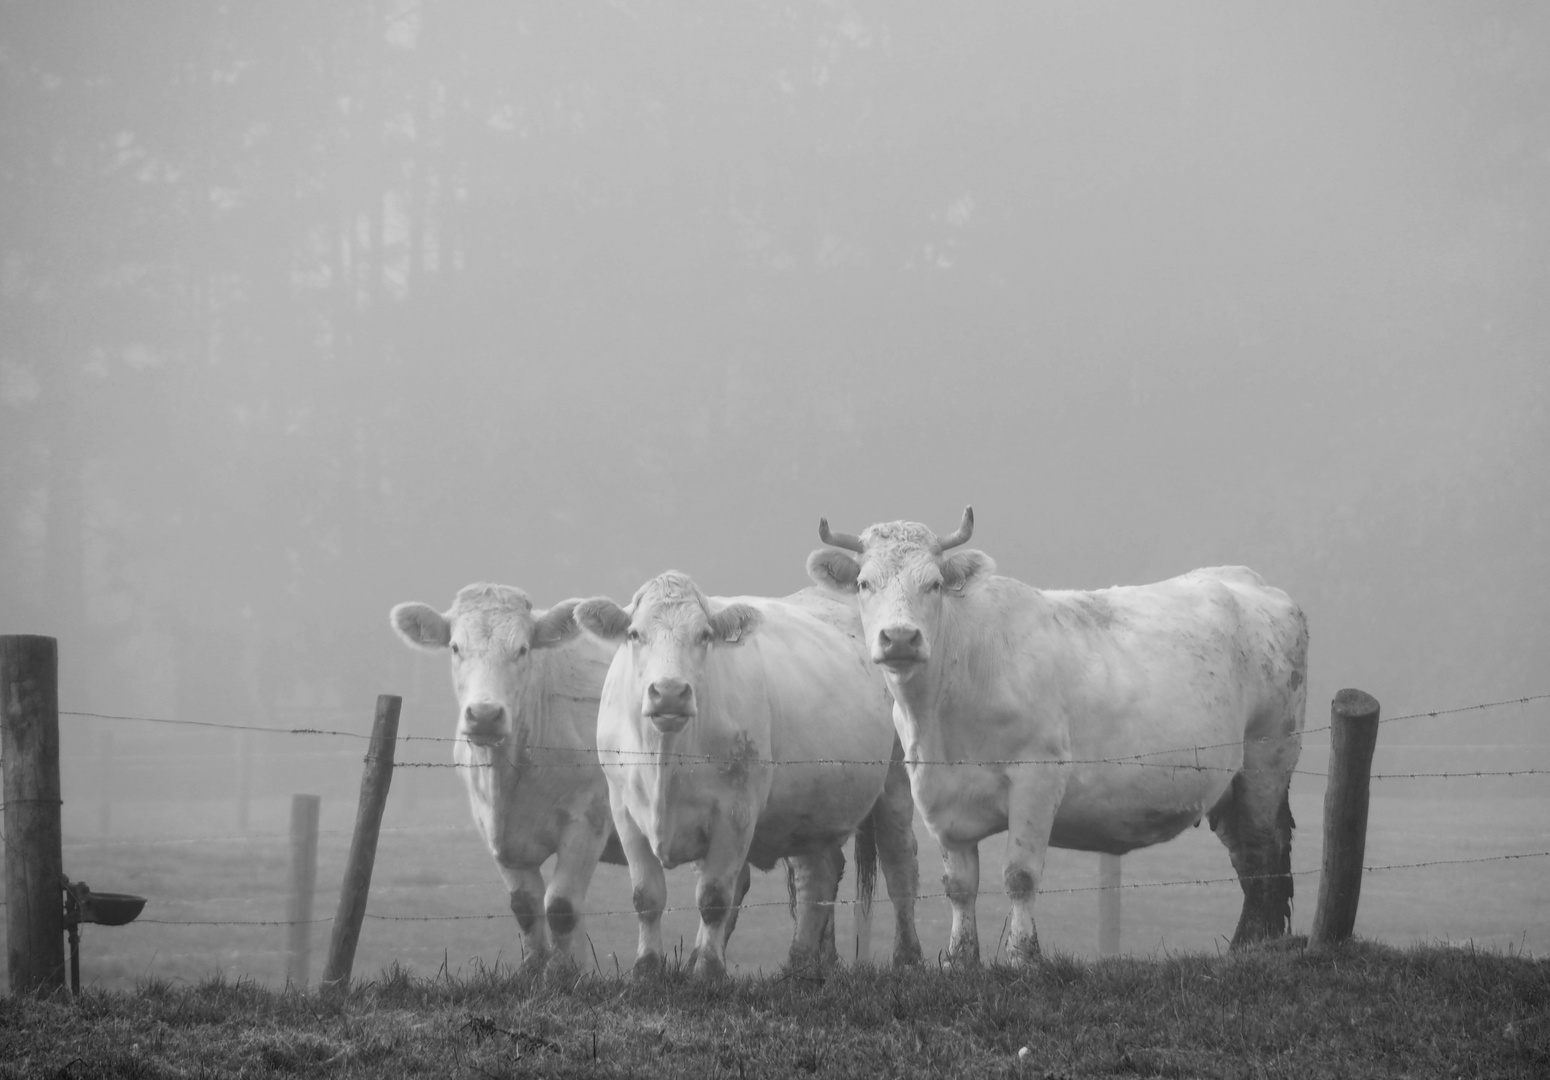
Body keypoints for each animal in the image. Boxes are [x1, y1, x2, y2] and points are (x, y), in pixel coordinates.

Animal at [579, 573, 917, 979]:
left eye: (704, 635)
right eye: (633, 633)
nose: (670, 693)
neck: (666, 759)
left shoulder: (736, 811)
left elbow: (713, 897)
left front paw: (708, 969)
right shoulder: (625, 810)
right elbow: (646, 896)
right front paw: (647, 969)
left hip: (895, 778)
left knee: (899, 862)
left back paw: (906, 957)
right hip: (810, 805)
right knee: (817, 874)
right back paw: (799, 963)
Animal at [812, 508, 1308, 966]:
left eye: (934, 584)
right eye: (864, 584)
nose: (899, 638)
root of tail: (1247, 580)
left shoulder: (1038, 776)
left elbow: (1020, 876)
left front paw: (1022, 957)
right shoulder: (935, 793)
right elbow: (959, 886)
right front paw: (959, 959)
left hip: (1268, 759)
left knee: (1263, 852)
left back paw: (1254, 946)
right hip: (1230, 783)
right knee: (1247, 857)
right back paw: (1250, 943)